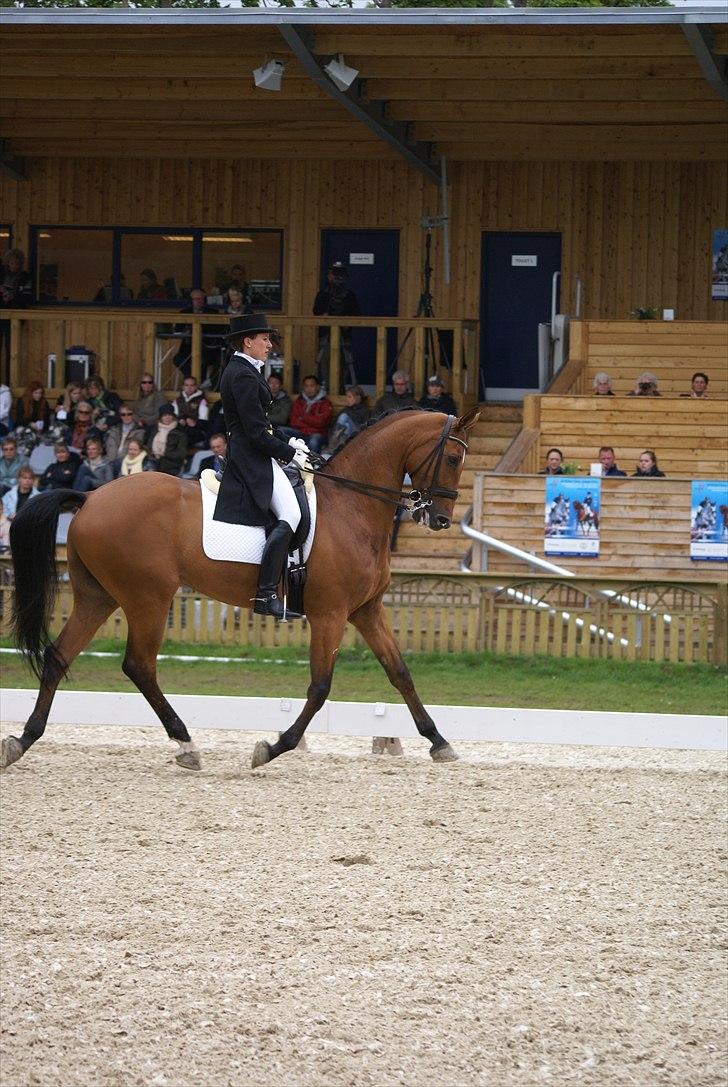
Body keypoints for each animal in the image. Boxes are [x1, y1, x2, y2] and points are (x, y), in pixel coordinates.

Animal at [2, 408, 482, 773]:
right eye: (453, 458)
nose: (440, 519)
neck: (352, 508)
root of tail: (90, 498)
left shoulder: (366, 611)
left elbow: (400, 673)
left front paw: (439, 742)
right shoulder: (330, 613)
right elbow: (320, 687)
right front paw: (272, 748)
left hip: (98, 596)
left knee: (59, 656)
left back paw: (23, 740)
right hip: (148, 597)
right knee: (139, 665)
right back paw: (186, 745)